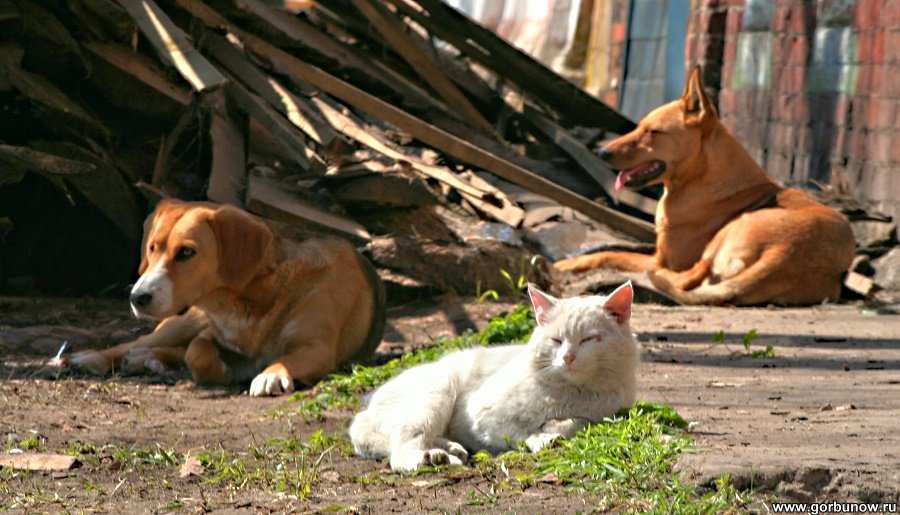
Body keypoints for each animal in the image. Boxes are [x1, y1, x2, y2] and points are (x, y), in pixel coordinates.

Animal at [66, 200, 384, 398]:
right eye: (152, 248)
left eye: (186, 252)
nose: (137, 297)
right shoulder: (210, 331)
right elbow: (197, 351)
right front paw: (219, 370)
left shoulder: (316, 348)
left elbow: (285, 359)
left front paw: (271, 373)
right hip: (182, 323)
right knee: (139, 343)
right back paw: (93, 357)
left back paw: (147, 360)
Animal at [348, 282, 636, 472]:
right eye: (556, 340)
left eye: (589, 339)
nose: (567, 357)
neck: (572, 392)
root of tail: (367, 409)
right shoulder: (481, 416)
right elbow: (520, 431)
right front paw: (542, 437)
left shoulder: (610, 413)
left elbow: (578, 422)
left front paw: (554, 427)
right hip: (437, 391)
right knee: (400, 449)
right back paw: (432, 458)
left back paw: (451, 449)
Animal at [552, 66, 856, 304]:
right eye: (639, 127)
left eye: (653, 132)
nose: (602, 152)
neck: (702, 176)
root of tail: (784, 254)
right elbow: (607, 249)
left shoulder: (664, 258)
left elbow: (612, 253)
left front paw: (568, 263)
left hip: (733, 228)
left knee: (689, 276)